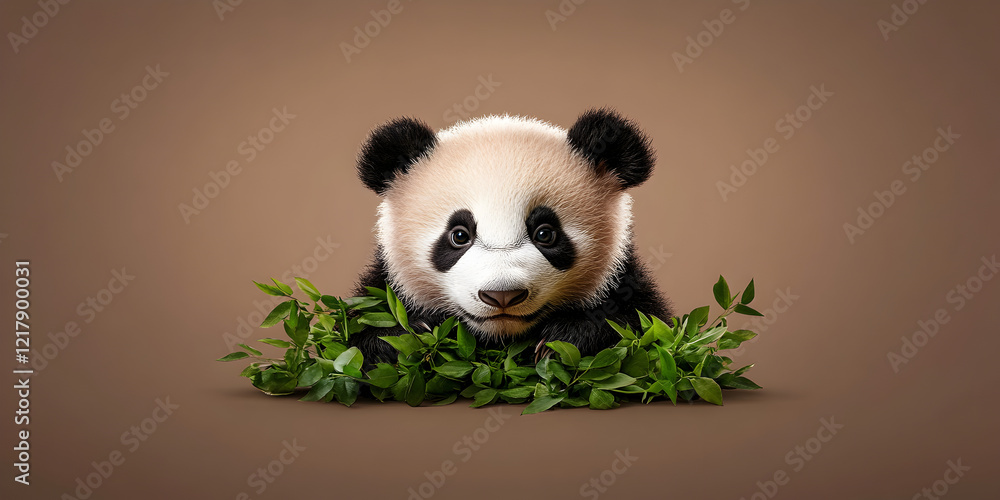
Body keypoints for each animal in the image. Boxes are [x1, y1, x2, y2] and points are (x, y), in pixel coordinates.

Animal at [350, 108, 670, 363]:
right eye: (459, 236)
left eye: (545, 233)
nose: (502, 295)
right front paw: (410, 335)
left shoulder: (625, 284)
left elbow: (638, 326)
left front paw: (562, 339)